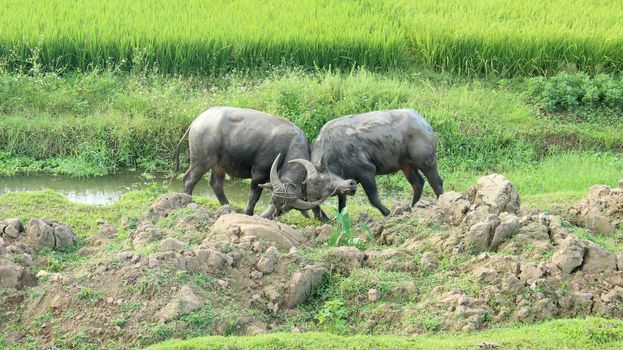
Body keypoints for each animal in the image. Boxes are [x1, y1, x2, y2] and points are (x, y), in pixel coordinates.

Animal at [174, 105, 356, 217]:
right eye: (273, 202)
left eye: (285, 209)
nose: (273, 214)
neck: (287, 147)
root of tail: (198, 120)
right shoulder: (259, 173)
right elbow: (253, 196)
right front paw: (248, 213)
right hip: (202, 160)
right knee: (189, 179)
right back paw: (187, 200)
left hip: (219, 165)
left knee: (216, 183)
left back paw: (227, 206)